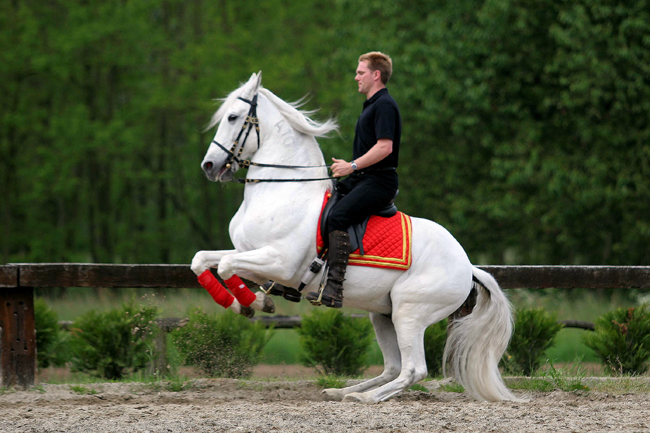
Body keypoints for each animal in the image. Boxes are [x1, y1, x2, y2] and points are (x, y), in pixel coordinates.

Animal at [190, 71, 520, 402]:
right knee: (392, 367)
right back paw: (343, 391)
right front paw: (244, 303)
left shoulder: (280, 263)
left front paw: (255, 304)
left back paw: (365, 398)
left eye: (233, 117)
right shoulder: (250, 253)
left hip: (409, 312)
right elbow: (203, 261)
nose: (209, 166)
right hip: (383, 314)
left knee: (413, 370)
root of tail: (468, 266)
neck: (283, 189)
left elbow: (226, 266)